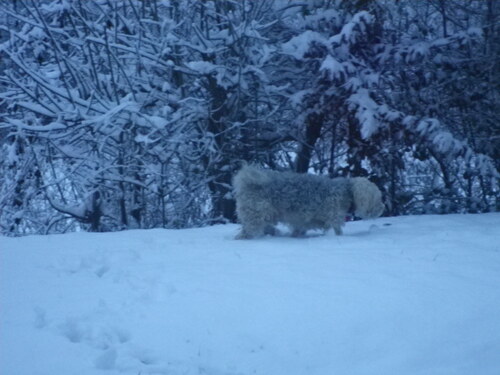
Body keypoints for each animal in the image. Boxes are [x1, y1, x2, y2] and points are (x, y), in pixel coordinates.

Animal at [232, 166, 384, 239]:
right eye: (378, 198)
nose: (383, 208)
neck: (346, 191)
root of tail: (247, 182)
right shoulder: (334, 218)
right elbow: (338, 232)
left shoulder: (301, 223)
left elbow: (298, 230)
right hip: (255, 216)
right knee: (247, 233)